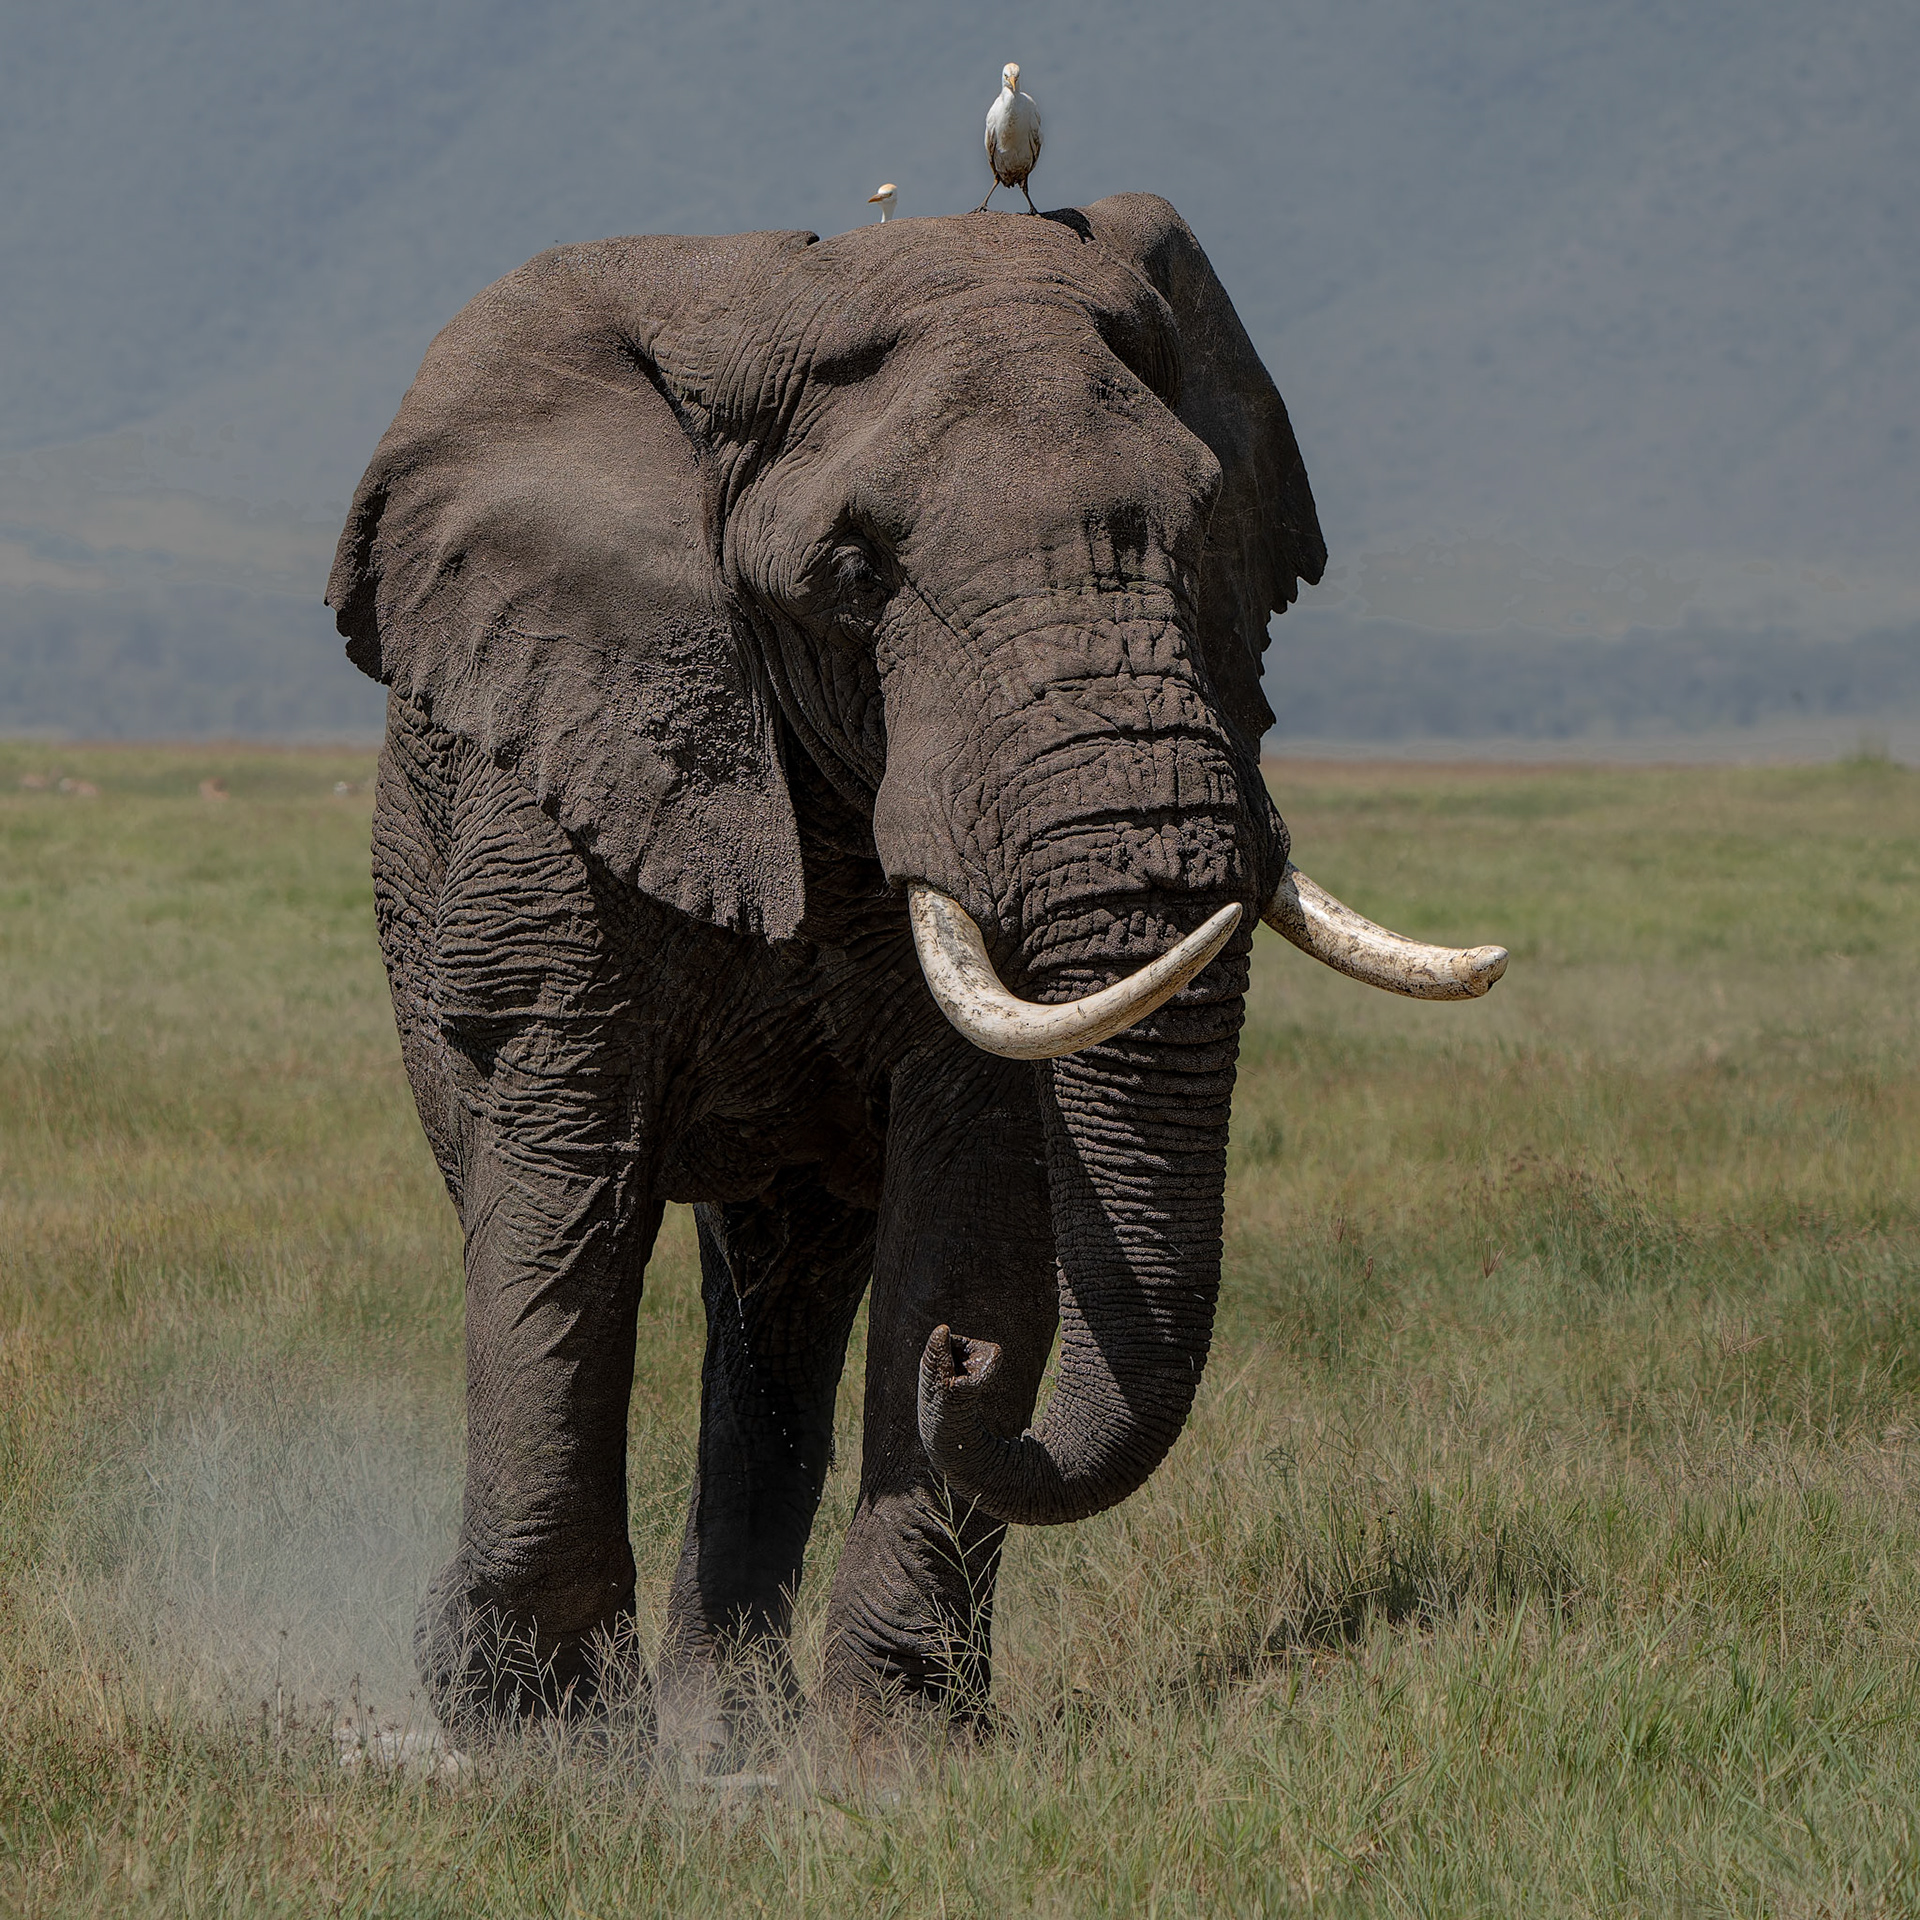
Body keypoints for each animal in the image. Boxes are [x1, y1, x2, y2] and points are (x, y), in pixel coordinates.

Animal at [325, 194, 1506, 1744]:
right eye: (856, 571)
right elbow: (565, 1167)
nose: (973, 1373)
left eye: (1210, 531)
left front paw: (900, 1753)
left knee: (783, 1299)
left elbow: (977, 1178)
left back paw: (733, 1734)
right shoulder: (564, 772)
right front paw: (536, 1738)